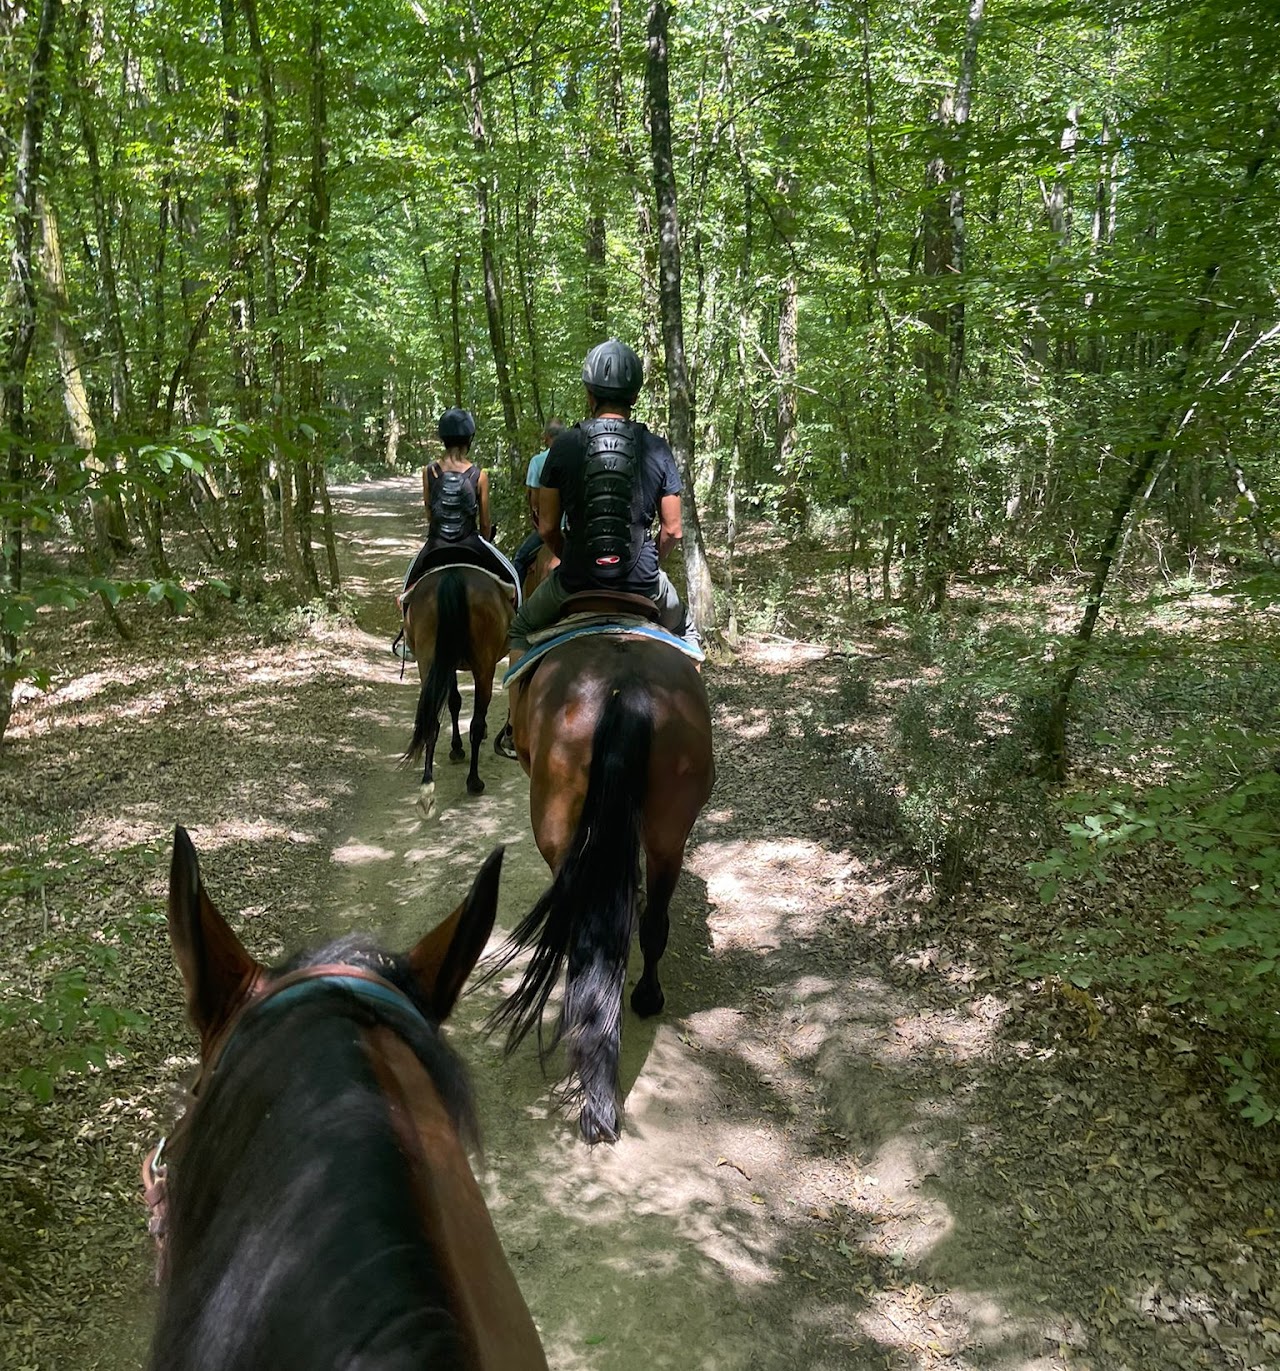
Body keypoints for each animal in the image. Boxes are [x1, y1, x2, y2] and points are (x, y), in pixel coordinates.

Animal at [405, 564, 515, 817]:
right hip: (484, 665)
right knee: (476, 722)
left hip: (428, 659)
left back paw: (426, 791)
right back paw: (474, 781)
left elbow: (454, 701)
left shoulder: (448, 662)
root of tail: (453, 575)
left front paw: (456, 748)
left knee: (432, 721)